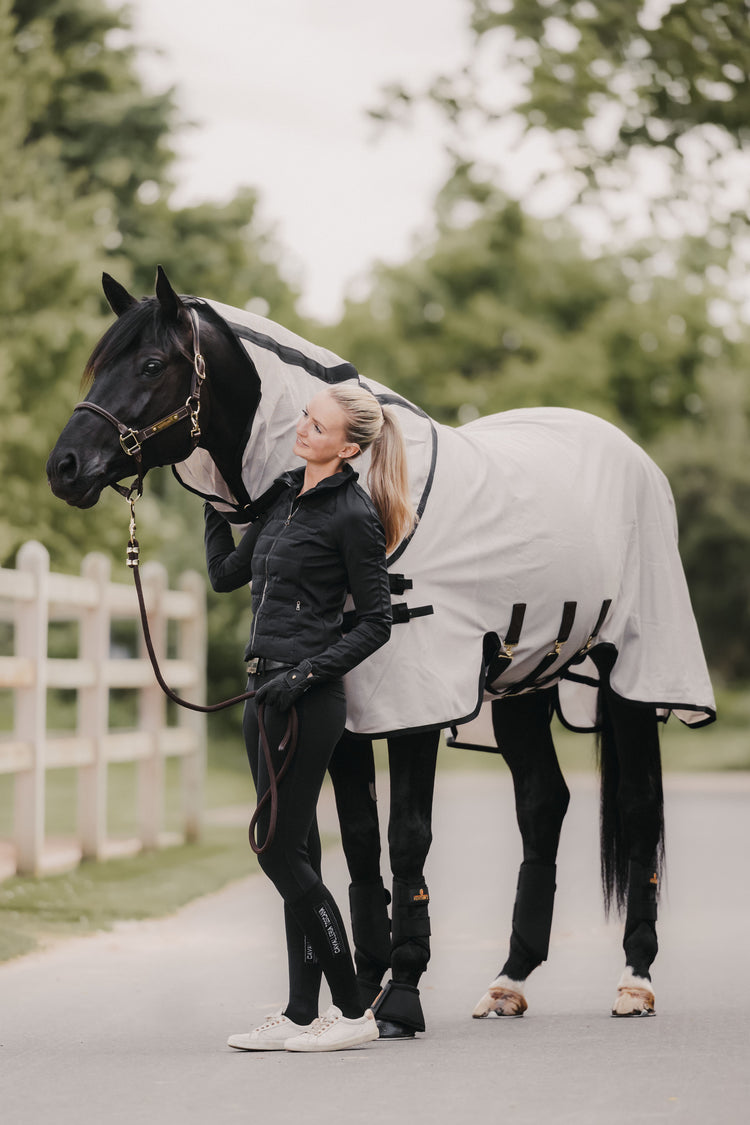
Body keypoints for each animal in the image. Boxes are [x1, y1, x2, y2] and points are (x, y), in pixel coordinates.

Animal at [46, 267, 715, 1030]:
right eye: (103, 362)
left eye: (153, 364)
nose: (65, 466)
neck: (362, 487)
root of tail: (632, 456)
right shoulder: (338, 710)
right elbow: (361, 838)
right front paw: (362, 988)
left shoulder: (412, 704)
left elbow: (406, 836)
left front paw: (401, 994)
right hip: (524, 680)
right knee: (544, 803)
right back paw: (509, 979)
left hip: (632, 670)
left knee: (637, 808)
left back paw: (635, 979)